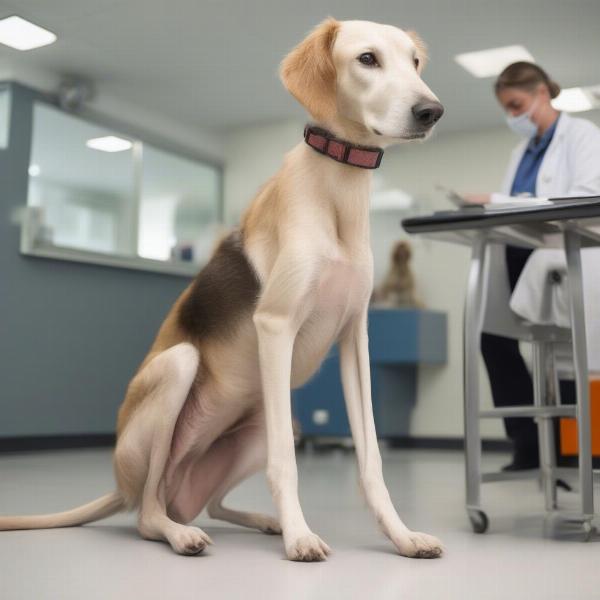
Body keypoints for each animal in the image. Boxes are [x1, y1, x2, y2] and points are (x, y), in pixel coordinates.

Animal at [1, 18, 446, 564]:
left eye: (415, 62)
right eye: (367, 59)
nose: (432, 111)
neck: (338, 185)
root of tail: (120, 486)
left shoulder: (354, 341)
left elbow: (373, 460)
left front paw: (401, 535)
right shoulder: (275, 328)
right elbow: (286, 465)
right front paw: (300, 537)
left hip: (262, 430)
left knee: (207, 503)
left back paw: (262, 521)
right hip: (178, 373)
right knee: (150, 514)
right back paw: (181, 533)